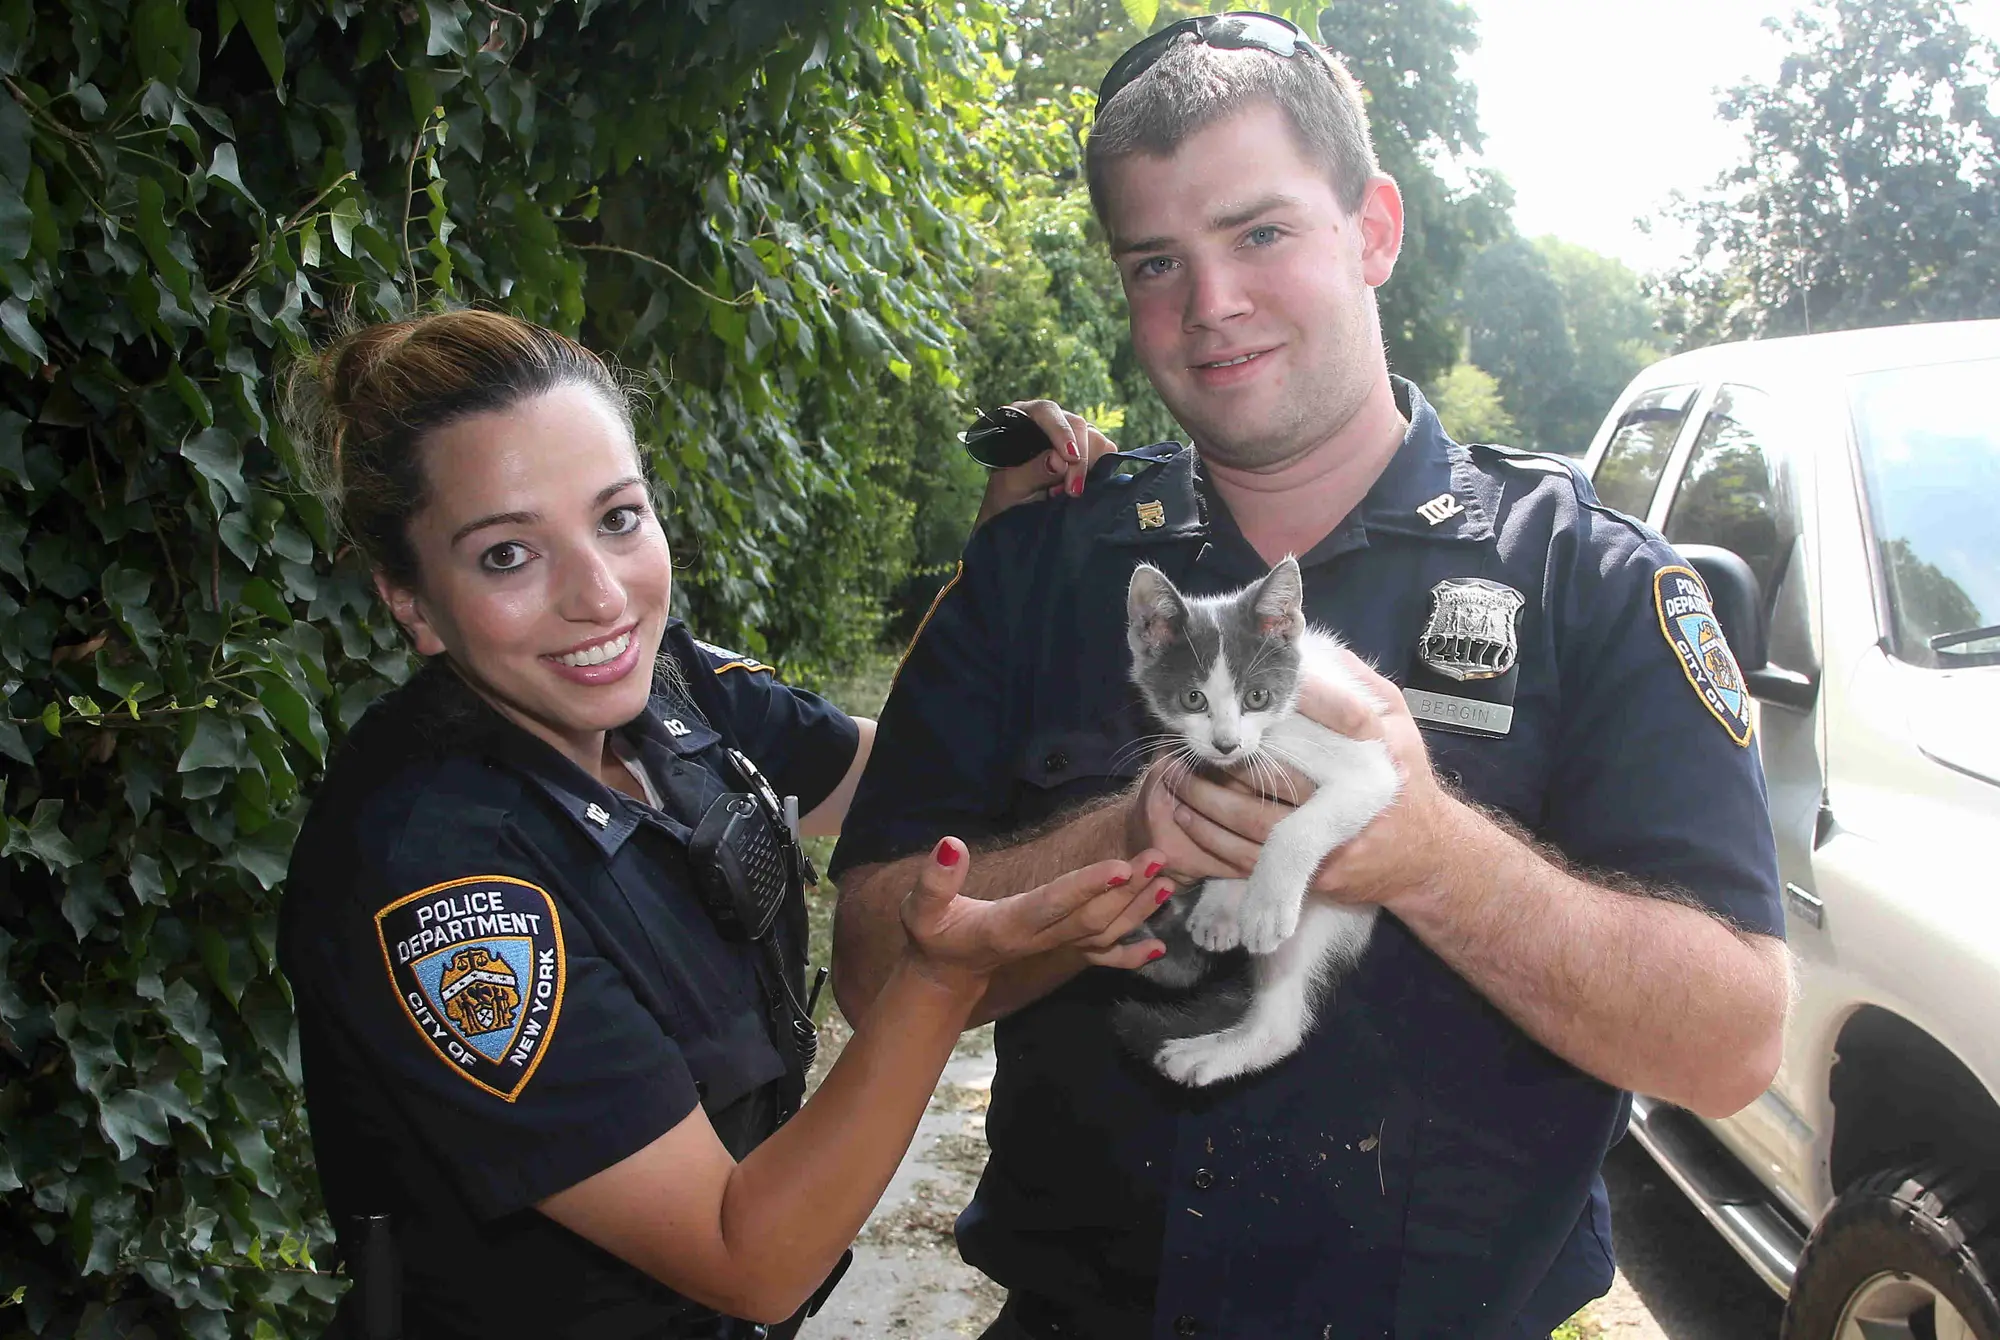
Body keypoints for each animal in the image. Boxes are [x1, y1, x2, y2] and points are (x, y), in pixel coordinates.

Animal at [1120, 556, 1400, 1088]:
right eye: (1193, 699)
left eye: (1256, 696)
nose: (1226, 744)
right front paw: (1220, 906)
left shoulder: (1370, 768)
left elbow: (1295, 828)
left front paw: (1264, 906)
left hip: (1323, 915)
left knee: (1283, 1025)